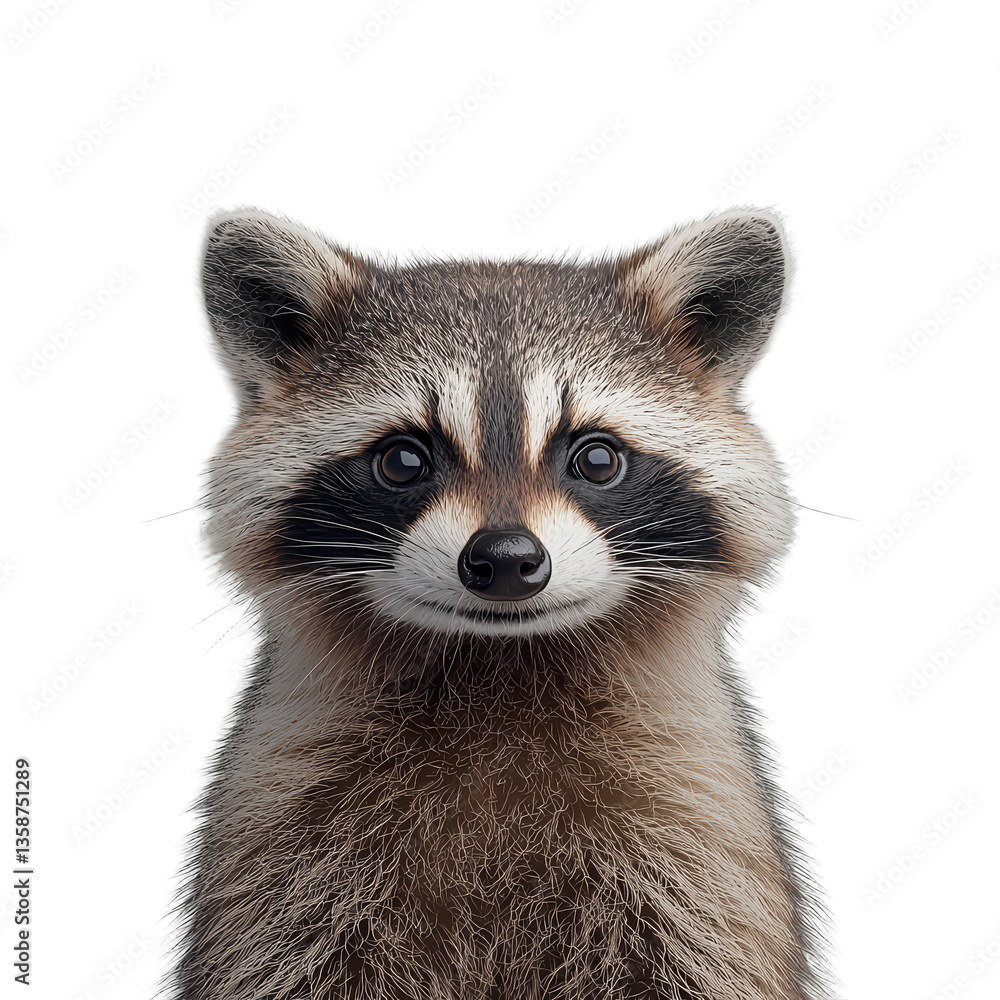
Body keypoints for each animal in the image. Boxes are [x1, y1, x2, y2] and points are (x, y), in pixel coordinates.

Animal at [169, 207, 829, 1000]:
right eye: (403, 459)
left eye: (597, 458)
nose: (508, 561)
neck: (499, 663)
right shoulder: (282, 846)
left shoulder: (697, 837)